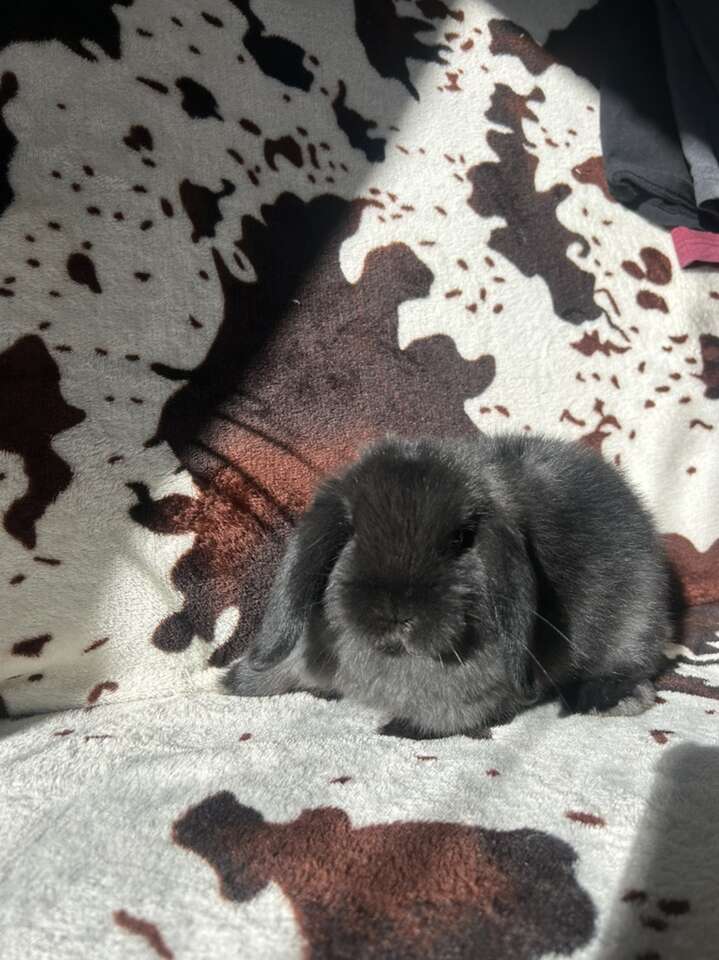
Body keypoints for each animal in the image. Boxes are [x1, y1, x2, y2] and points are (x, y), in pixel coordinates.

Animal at [228, 432, 672, 740]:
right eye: (351, 532)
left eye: (461, 538)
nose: (394, 612)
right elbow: (288, 668)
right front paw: (239, 680)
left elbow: (450, 715)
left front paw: (402, 729)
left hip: (635, 621)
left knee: (633, 668)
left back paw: (608, 699)